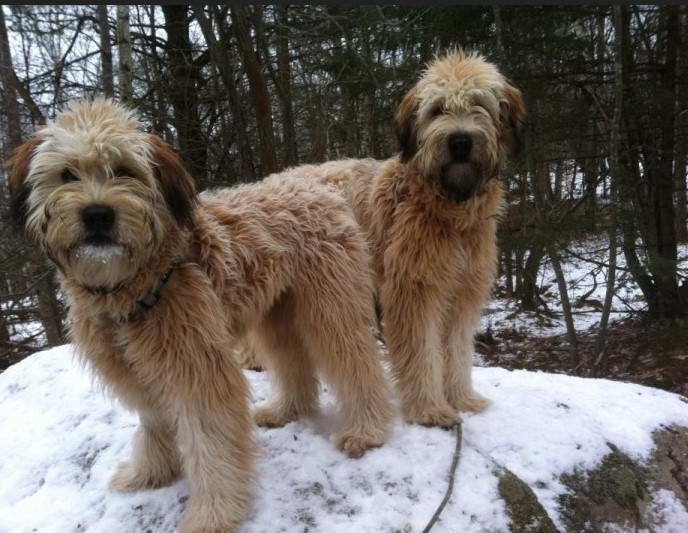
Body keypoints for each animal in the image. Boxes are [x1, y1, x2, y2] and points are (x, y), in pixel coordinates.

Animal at [6, 100, 392, 532]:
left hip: (329, 305)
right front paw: (148, 473)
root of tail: (317, 183)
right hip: (278, 313)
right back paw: (287, 410)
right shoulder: (136, 369)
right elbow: (154, 423)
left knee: (355, 362)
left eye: (124, 169)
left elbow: (211, 444)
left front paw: (212, 514)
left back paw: (366, 430)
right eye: (67, 174)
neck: (137, 286)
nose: (98, 215)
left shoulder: (196, 368)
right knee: (292, 361)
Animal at [276, 52, 524, 426]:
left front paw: (461, 398)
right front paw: (430, 408)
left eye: (479, 104)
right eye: (437, 110)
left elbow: (457, 349)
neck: (449, 210)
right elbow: (421, 352)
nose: (460, 142)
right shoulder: (413, 290)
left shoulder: (463, 291)